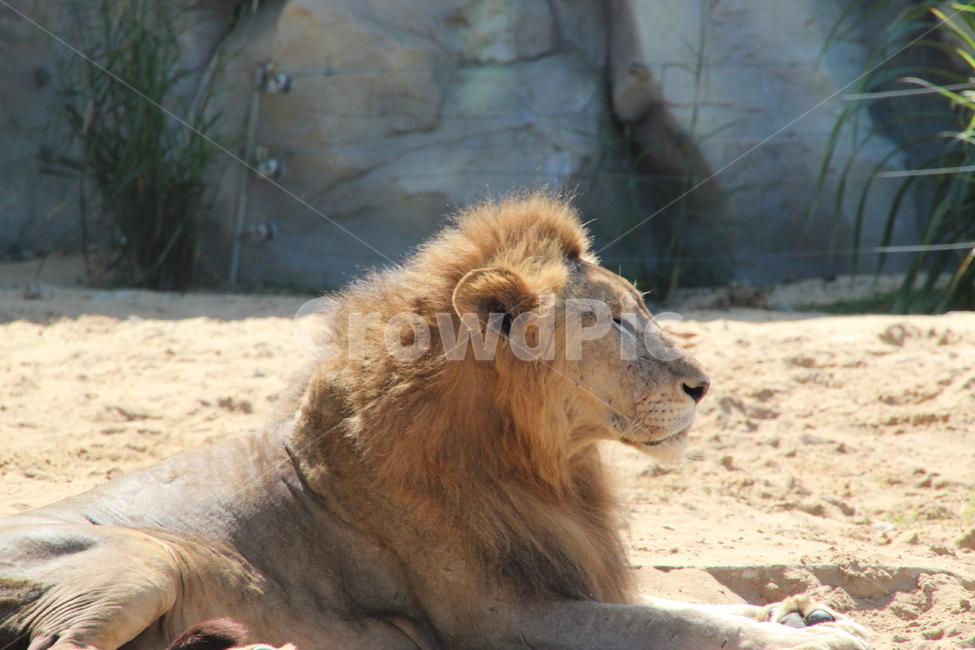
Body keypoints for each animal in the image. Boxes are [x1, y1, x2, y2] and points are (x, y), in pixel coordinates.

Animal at [0, 194, 871, 650]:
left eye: (642, 311)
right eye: (615, 323)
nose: (702, 385)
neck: (539, 466)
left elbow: (691, 606)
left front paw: (799, 609)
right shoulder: (501, 619)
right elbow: (680, 624)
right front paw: (816, 636)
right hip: (141, 564)